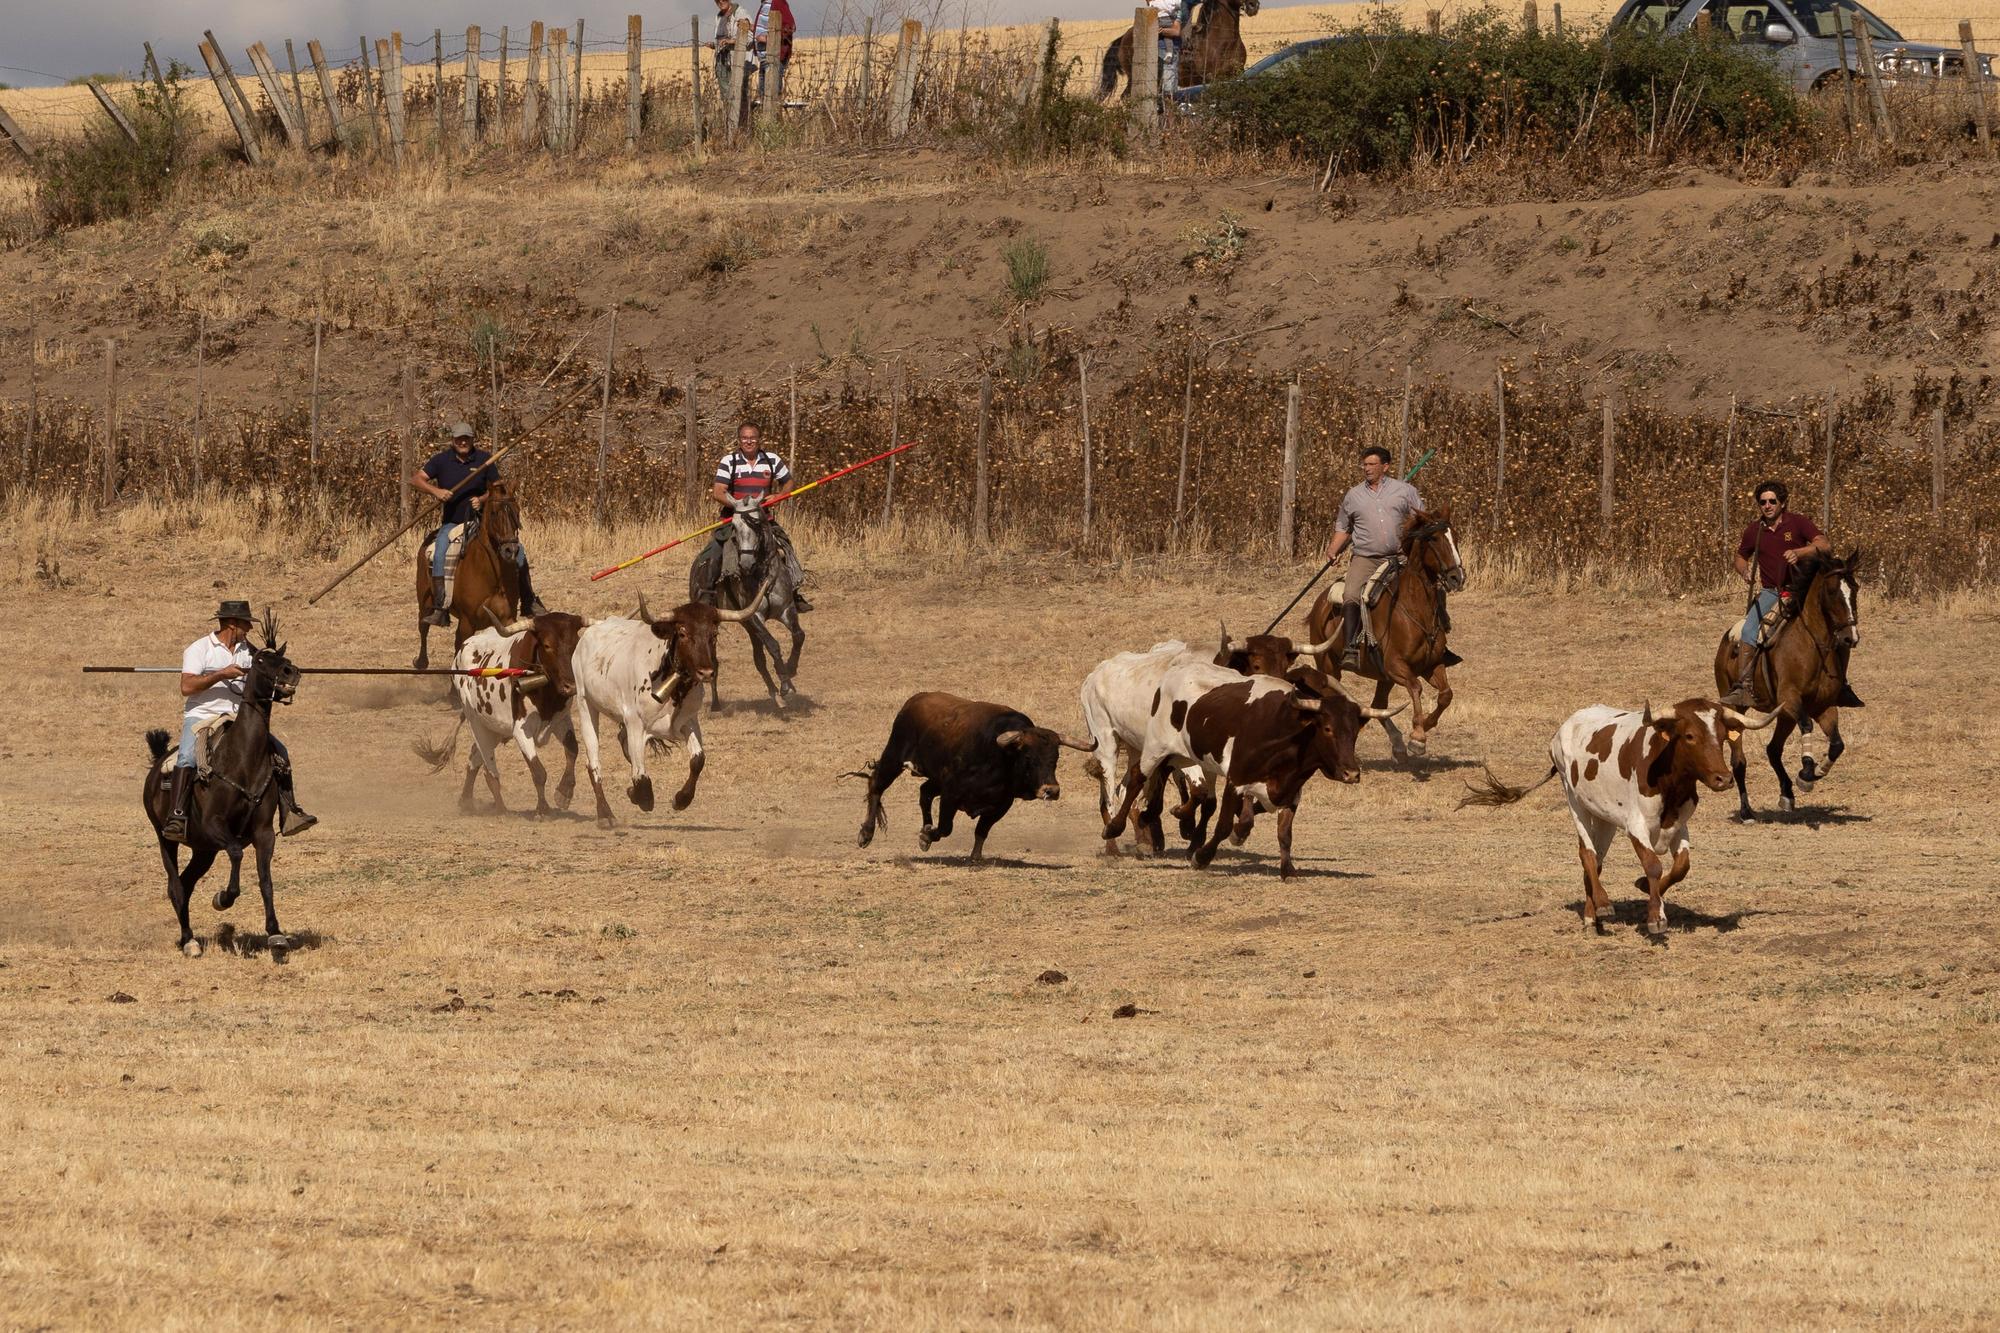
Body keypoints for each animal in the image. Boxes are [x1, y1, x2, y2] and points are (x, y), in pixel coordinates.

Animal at [412, 474, 520, 668]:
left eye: (517, 512)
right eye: (494, 513)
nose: (511, 550)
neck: (492, 575)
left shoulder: (507, 619)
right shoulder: (467, 622)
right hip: (424, 602)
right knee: (423, 627)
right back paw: (421, 662)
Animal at [1304, 504, 1464, 756]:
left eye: (1454, 537)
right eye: (1434, 538)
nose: (1457, 577)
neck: (1413, 608)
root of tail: (1319, 604)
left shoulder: (1430, 665)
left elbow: (1446, 695)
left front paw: (1425, 726)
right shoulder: (1396, 666)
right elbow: (1416, 687)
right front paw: (1418, 737)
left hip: (1382, 677)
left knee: (1378, 706)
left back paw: (1397, 744)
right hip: (1329, 665)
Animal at [1464, 696, 1776, 932]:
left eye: (1722, 736)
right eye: (1689, 736)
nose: (1723, 778)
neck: (1667, 778)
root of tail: (1564, 728)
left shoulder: (1678, 825)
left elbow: (1681, 867)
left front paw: (1645, 888)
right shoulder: (1636, 825)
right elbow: (1653, 865)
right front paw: (1655, 917)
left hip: (1604, 818)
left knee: (1597, 860)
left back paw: (1591, 915)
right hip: (1574, 800)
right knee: (1587, 854)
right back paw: (1602, 905)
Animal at [1712, 544, 1864, 816]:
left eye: (1854, 588)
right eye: (1833, 591)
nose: (1850, 637)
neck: (1812, 645)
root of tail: (1728, 638)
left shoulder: (1822, 706)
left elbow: (1837, 744)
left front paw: (1812, 774)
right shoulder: (1791, 698)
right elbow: (1807, 725)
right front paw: (1806, 772)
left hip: (1782, 714)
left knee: (1773, 749)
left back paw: (1786, 794)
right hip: (1736, 708)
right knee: (1739, 760)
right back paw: (1746, 811)